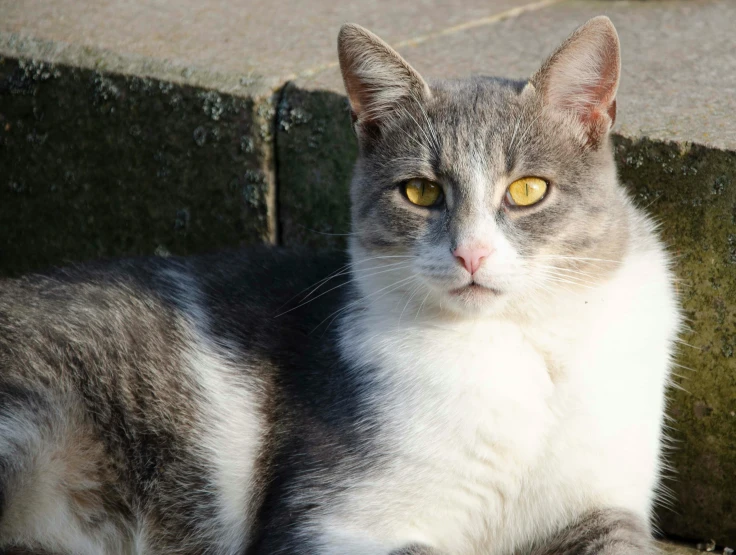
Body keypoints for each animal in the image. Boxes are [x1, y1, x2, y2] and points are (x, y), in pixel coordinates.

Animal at [0, 15, 680, 555]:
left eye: (529, 189)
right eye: (420, 191)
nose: (471, 253)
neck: (517, 346)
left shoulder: (599, 502)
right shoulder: (328, 514)